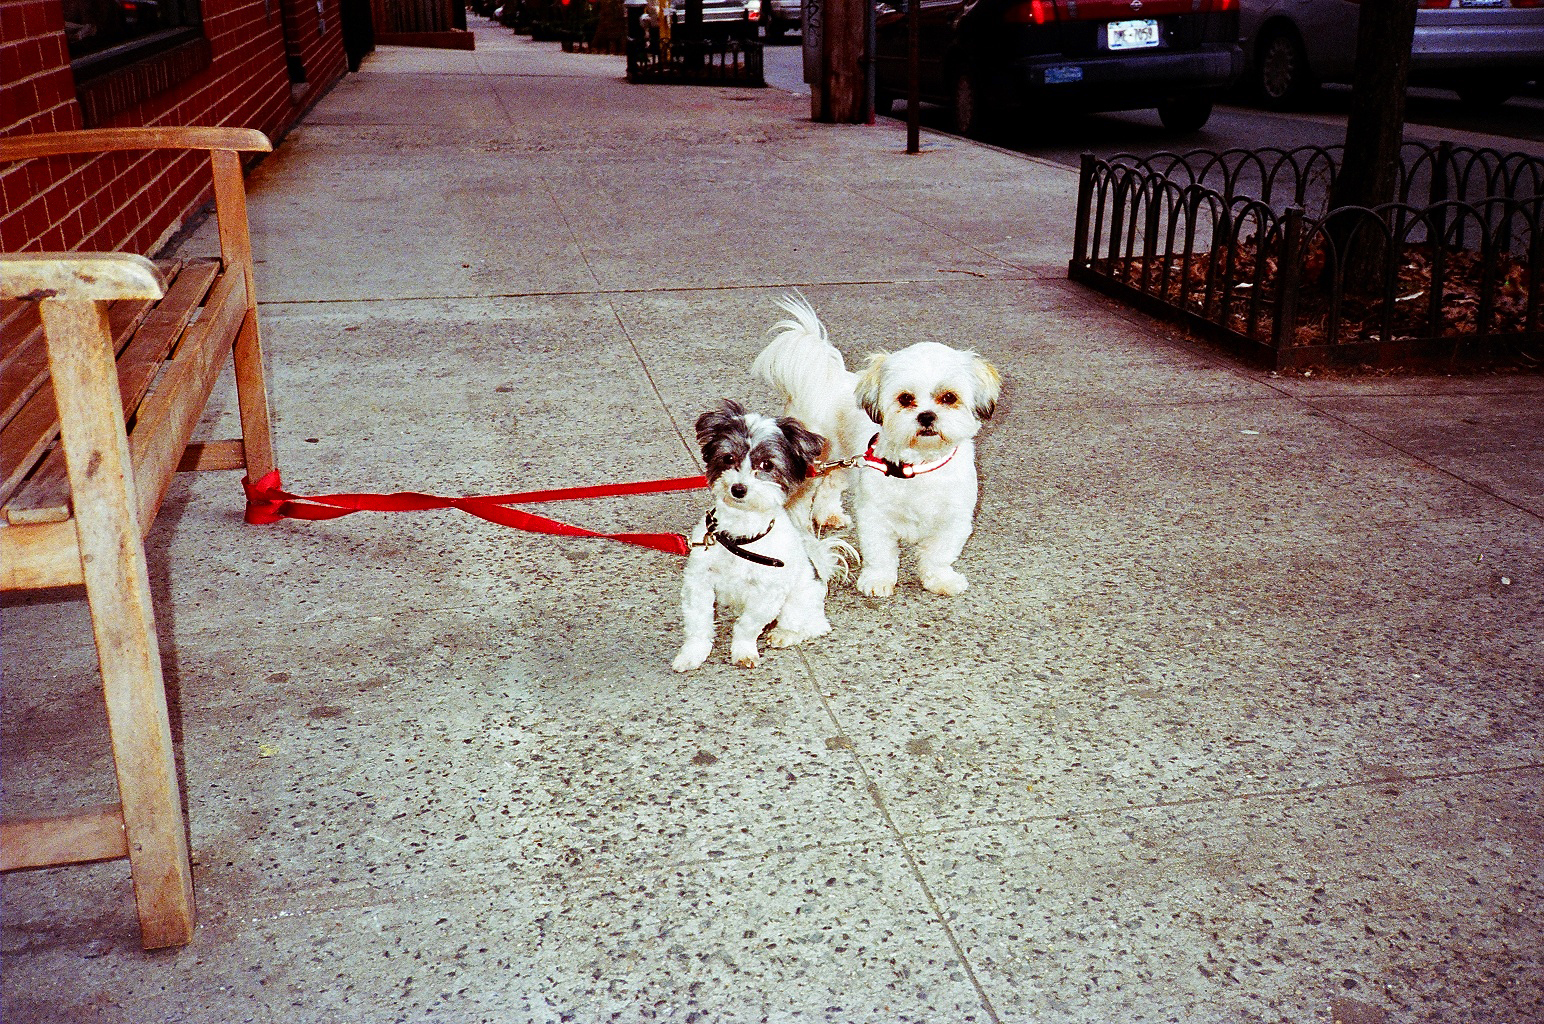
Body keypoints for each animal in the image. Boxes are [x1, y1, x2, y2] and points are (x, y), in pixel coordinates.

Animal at [672, 400, 854, 672]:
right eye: (728, 458)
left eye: (767, 465)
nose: (738, 489)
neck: (740, 538)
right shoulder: (699, 581)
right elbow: (698, 623)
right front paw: (693, 653)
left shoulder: (768, 592)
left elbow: (748, 625)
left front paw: (744, 651)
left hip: (799, 601)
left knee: (814, 626)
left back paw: (784, 634)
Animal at [751, 294, 1001, 598]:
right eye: (905, 398)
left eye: (949, 397)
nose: (926, 416)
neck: (918, 467)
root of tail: (827, 379)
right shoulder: (875, 514)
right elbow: (880, 552)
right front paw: (877, 580)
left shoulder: (954, 519)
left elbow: (938, 555)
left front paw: (940, 579)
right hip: (813, 463)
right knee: (802, 497)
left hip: (842, 460)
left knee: (831, 485)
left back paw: (830, 514)